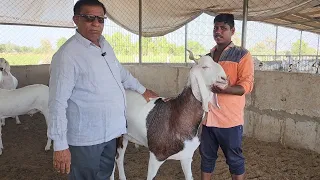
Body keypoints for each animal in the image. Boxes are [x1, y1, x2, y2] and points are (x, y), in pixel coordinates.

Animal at [111, 51, 229, 179]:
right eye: (205, 67)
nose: (224, 78)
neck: (177, 115)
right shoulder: (156, 156)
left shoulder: (187, 156)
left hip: (125, 136)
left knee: (119, 158)